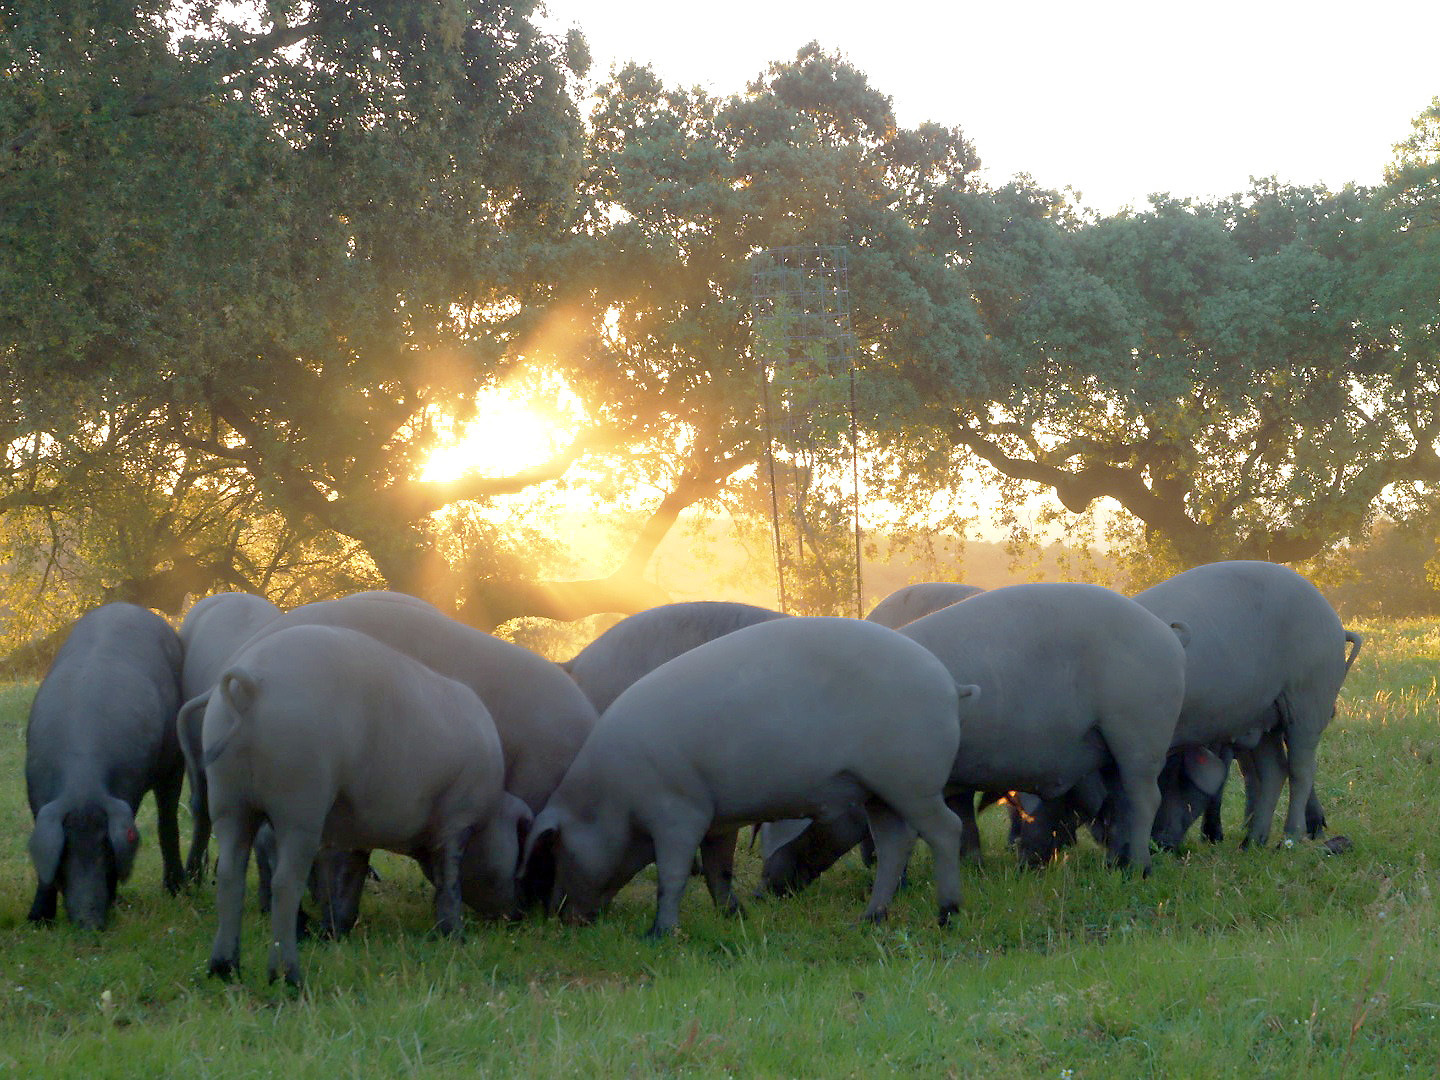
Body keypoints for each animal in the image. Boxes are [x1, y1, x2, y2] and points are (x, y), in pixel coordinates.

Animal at [26, 604, 185, 933]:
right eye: (65, 851)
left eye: (108, 851)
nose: (89, 922)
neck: (82, 782)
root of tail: (127, 605)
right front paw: (37, 921)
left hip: (175, 760)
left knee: (168, 822)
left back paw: (177, 889)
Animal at [201, 624, 518, 990]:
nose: (518, 915)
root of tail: (252, 681)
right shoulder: (458, 821)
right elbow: (448, 882)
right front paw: (456, 938)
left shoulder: (357, 834)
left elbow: (350, 882)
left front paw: (334, 933)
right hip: (301, 805)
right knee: (285, 883)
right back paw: (289, 979)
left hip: (227, 800)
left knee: (229, 875)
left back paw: (223, 970)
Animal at [766, 587, 1192, 892]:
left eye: (802, 825)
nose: (765, 890)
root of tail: (1166, 633)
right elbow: (962, 818)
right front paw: (974, 868)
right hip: (1113, 747)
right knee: (1119, 802)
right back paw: (1115, 865)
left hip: (1141, 730)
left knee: (1144, 797)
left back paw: (1139, 871)